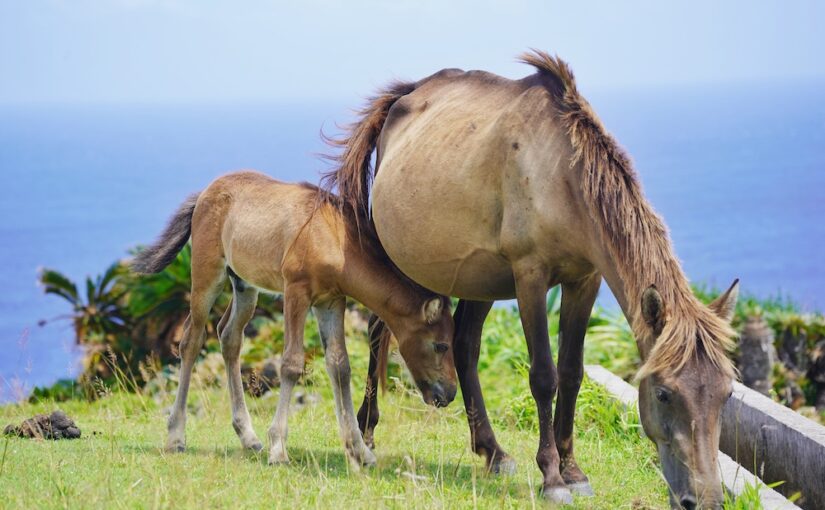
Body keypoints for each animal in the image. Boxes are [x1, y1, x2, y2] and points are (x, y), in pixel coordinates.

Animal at [132, 170, 456, 468]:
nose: (450, 394)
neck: (334, 238)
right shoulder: (296, 293)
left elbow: (340, 366)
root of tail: (205, 192)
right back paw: (176, 437)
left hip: (244, 285)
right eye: (441, 345)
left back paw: (248, 437)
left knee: (229, 337)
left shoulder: (331, 301)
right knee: (192, 339)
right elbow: (291, 364)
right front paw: (278, 449)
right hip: (207, 273)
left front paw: (360, 451)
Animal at [324, 51, 739, 508]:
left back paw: (492, 451)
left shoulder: (585, 280)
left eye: (726, 394)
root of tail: (406, 95)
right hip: (403, 260)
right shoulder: (531, 278)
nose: (704, 499)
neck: (562, 174)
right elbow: (544, 376)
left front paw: (573, 471)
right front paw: (553, 477)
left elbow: (572, 373)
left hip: (476, 279)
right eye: (664, 394)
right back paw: (366, 432)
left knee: (464, 347)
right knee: (378, 329)